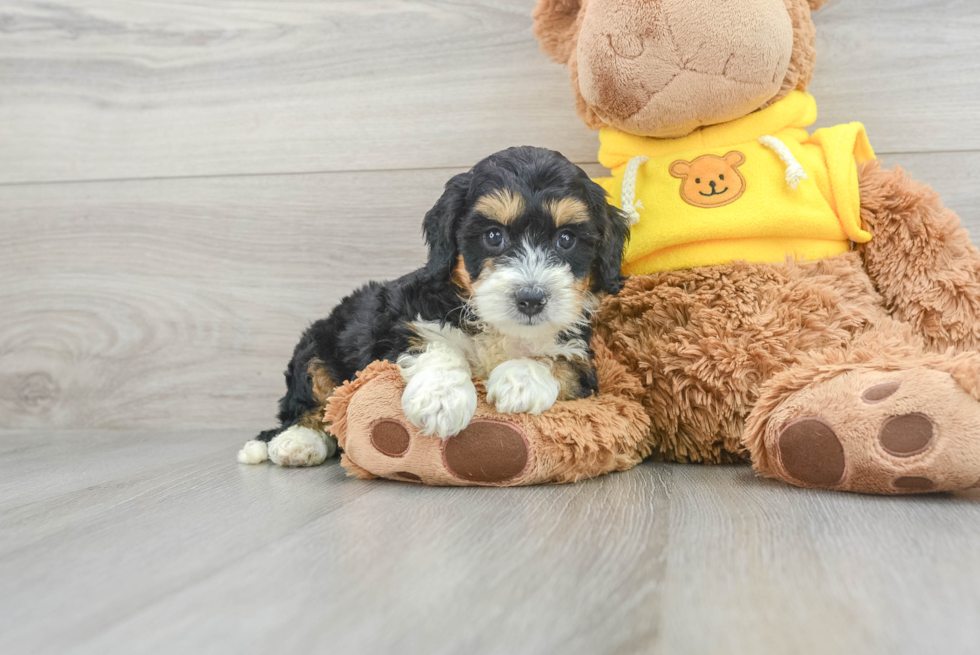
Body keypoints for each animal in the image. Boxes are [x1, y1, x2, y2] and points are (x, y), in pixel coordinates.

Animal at [241, 147, 632, 466]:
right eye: (493, 236)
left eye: (566, 239)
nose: (531, 299)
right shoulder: (400, 323)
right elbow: (433, 344)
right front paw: (442, 398)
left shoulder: (584, 355)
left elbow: (563, 363)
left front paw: (521, 379)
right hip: (316, 346)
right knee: (305, 402)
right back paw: (294, 441)